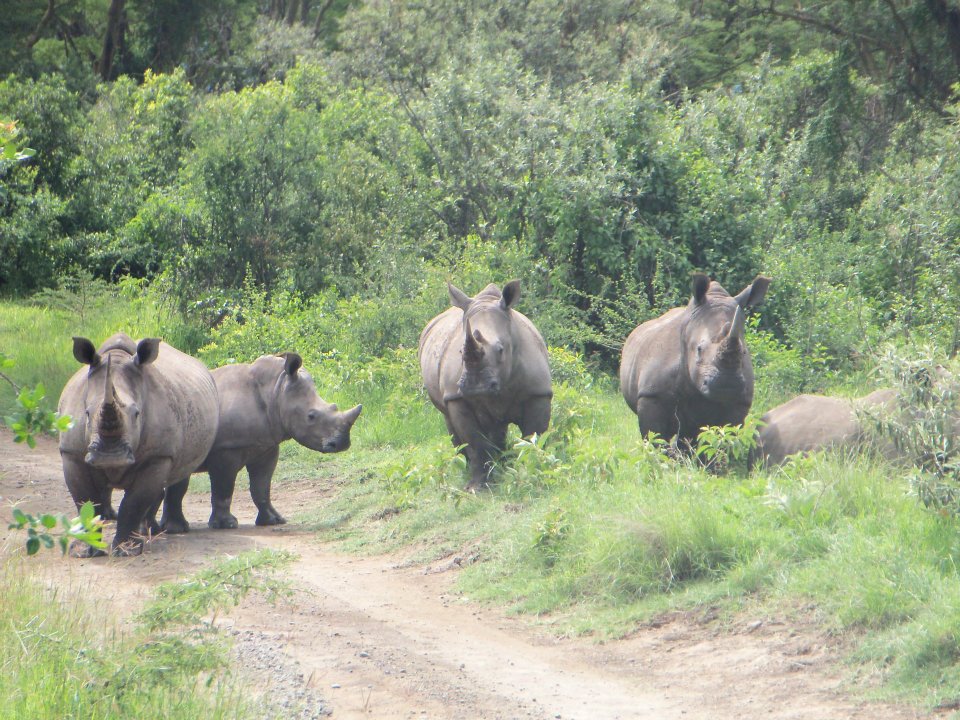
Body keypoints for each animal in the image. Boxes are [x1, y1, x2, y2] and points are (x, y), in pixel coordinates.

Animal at [58, 334, 219, 556]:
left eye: (136, 414)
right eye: (87, 413)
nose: (110, 457)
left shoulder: (158, 455)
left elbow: (134, 503)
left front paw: (127, 552)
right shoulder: (71, 453)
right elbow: (85, 500)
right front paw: (83, 551)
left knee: (180, 471)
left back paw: (168, 530)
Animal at [161, 352, 360, 532]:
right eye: (311, 416)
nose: (341, 443)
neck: (276, 391)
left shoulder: (266, 445)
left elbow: (262, 486)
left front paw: (274, 521)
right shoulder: (226, 449)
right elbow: (224, 487)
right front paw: (227, 525)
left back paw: (171, 529)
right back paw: (175, 530)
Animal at [422, 280, 556, 490]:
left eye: (501, 349)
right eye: (460, 351)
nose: (476, 387)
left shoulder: (538, 393)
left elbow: (533, 436)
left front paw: (531, 475)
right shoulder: (457, 398)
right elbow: (475, 442)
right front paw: (476, 487)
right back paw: (469, 469)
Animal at [624, 272, 772, 448]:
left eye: (743, 352)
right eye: (699, 349)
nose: (727, 385)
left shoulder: (738, 402)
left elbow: (723, 438)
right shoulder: (651, 395)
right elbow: (656, 438)